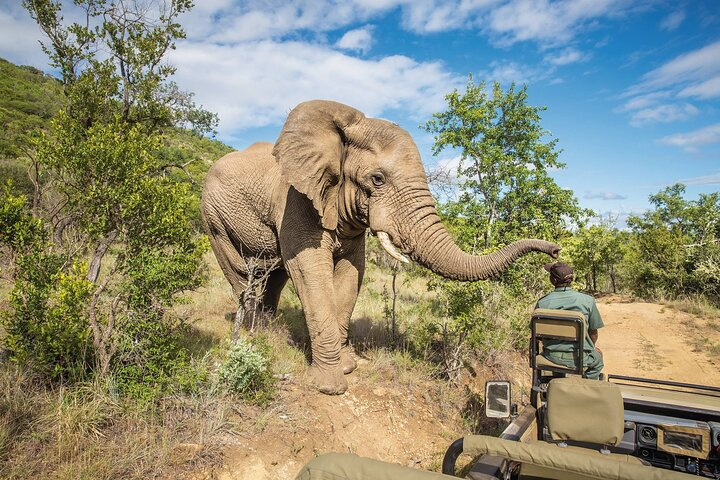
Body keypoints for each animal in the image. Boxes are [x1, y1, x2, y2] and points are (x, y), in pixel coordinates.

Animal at [202, 100, 564, 394]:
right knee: (242, 273)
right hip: (213, 217)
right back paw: (254, 336)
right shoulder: (295, 200)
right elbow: (309, 270)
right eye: (377, 179)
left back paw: (268, 332)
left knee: (273, 276)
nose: (555, 251)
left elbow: (351, 273)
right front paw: (331, 386)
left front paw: (348, 366)